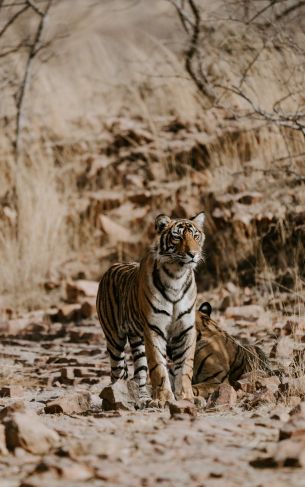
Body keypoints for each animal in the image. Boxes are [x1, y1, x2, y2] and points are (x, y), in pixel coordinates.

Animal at [95, 212, 204, 406]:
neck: (177, 275)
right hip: (114, 339)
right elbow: (158, 367)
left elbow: (185, 366)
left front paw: (187, 397)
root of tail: (110, 268)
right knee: (117, 374)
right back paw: (116, 400)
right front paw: (164, 399)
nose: (193, 254)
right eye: (177, 237)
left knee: (140, 373)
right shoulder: (154, 329)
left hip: (137, 340)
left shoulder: (186, 329)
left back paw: (144, 400)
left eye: (196, 236)